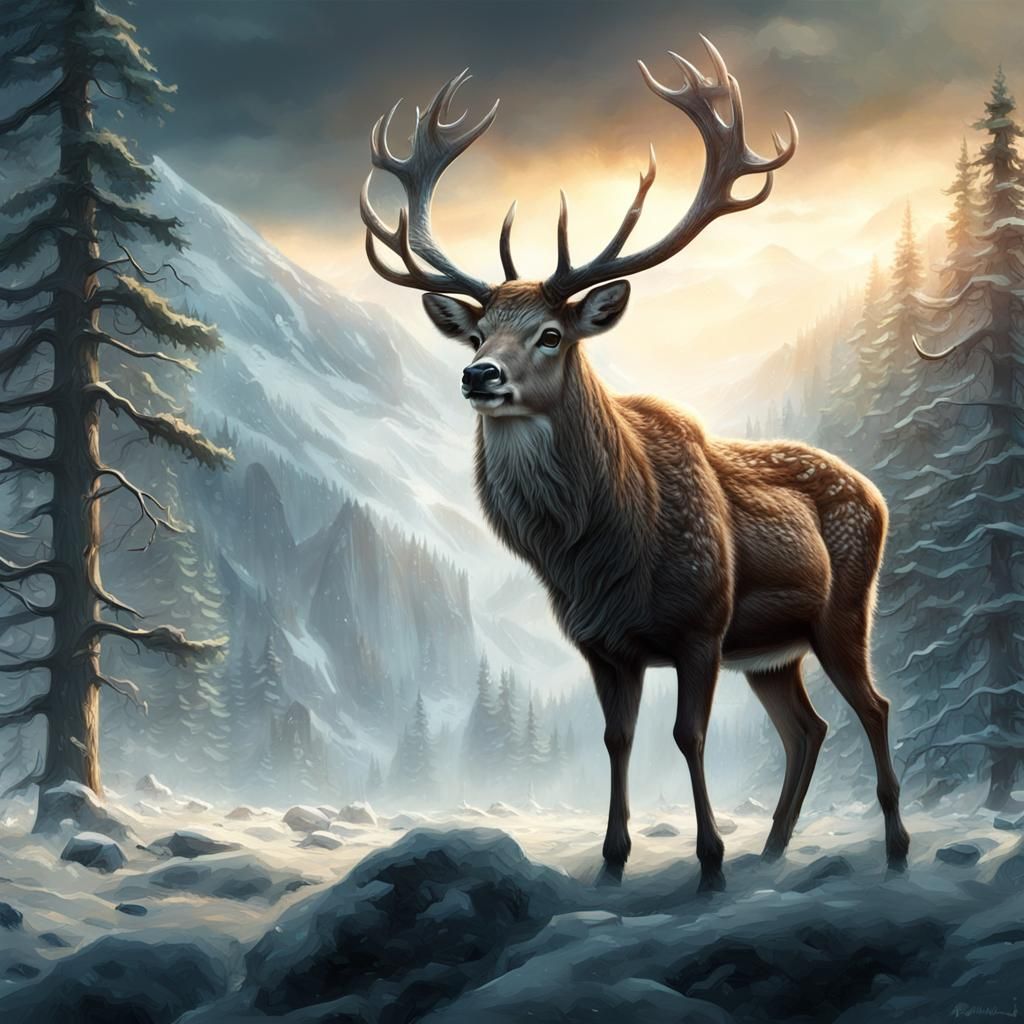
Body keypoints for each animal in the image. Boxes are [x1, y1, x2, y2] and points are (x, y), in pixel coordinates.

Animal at [360, 37, 910, 892]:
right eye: (478, 333)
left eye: (552, 334)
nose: (480, 376)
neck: (599, 550)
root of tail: (877, 494)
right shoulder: (600, 643)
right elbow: (616, 741)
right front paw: (612, 865)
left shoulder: (700, 625)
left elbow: (688, 737)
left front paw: (710, 865)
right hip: (771, 652)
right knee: (808, 728)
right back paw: (773, 851)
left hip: (842, 610)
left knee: (873, 709)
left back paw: (892, 849)